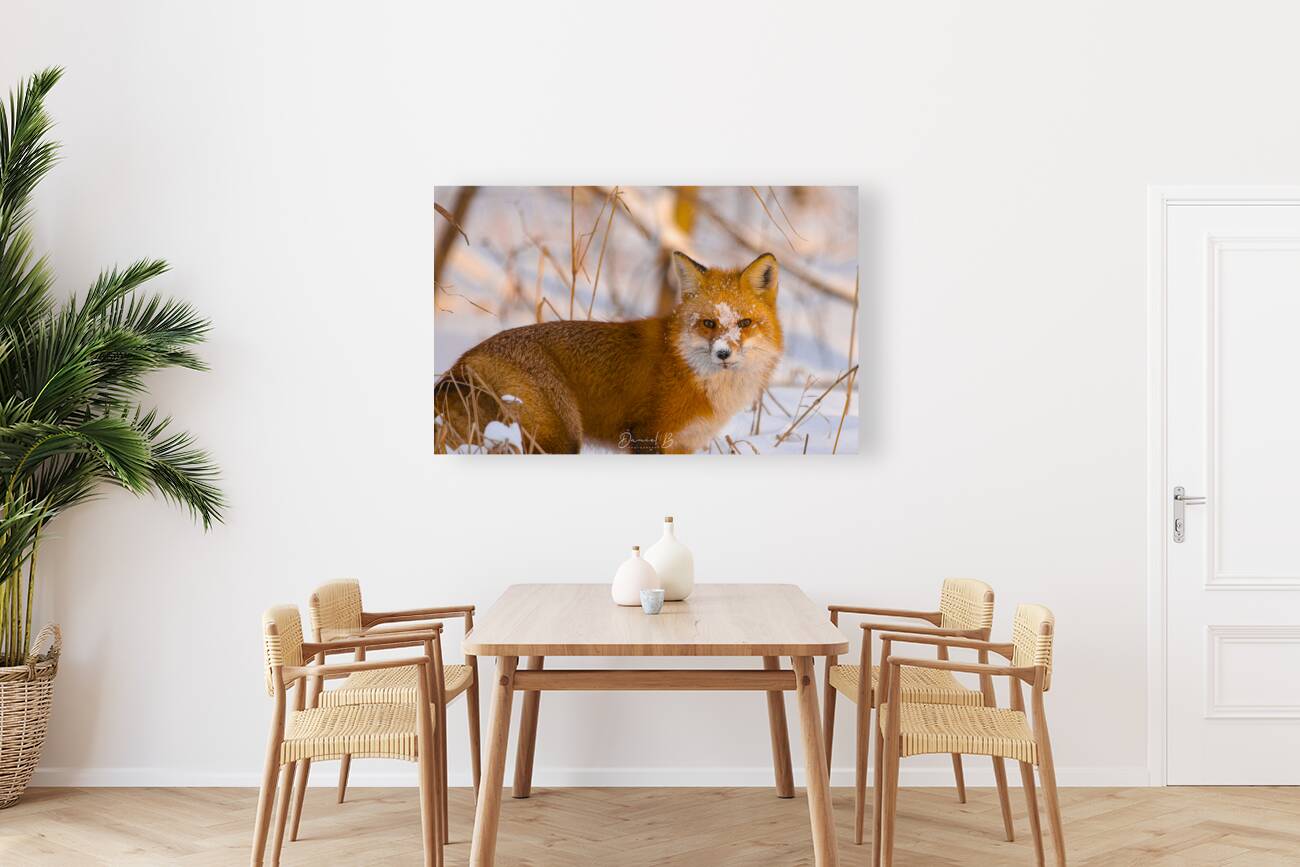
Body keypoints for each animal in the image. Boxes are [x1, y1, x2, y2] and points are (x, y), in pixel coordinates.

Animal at [435, 251, 783, 454]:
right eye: (709, 323)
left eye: (744, 323)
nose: (724, 353)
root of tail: (463, 361)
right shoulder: (648, 435)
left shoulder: (684, 445)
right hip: (561, 436)